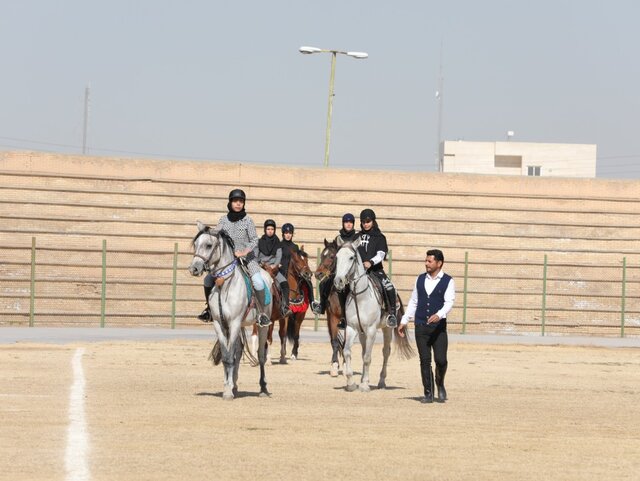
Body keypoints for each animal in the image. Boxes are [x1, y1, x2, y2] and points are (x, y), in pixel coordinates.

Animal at [188, 220, 272, 398]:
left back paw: (263, 388)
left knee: (261, 355)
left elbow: (230, 355)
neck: (225, 284)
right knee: (238, 353)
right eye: (196, 244)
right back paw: (235, 385)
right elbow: (228, 356)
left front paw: (228, 391)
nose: (194, 268)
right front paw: (228, 387)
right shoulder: (220, 324)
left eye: (208, 245)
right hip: (240, 326)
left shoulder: (233, 322)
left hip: (262, 326)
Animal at [332, 235, 412, 390]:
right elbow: (347, 351)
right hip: (362, 333)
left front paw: (364, 385)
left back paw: (381, 381)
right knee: (364, 351)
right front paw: (351, 383)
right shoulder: (351, 328)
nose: (338, 281)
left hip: (387, 329)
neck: (360, 297)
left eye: (351, 257)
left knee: (385, 352)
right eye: (337, 257)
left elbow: (368, 358)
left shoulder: (371, 330)